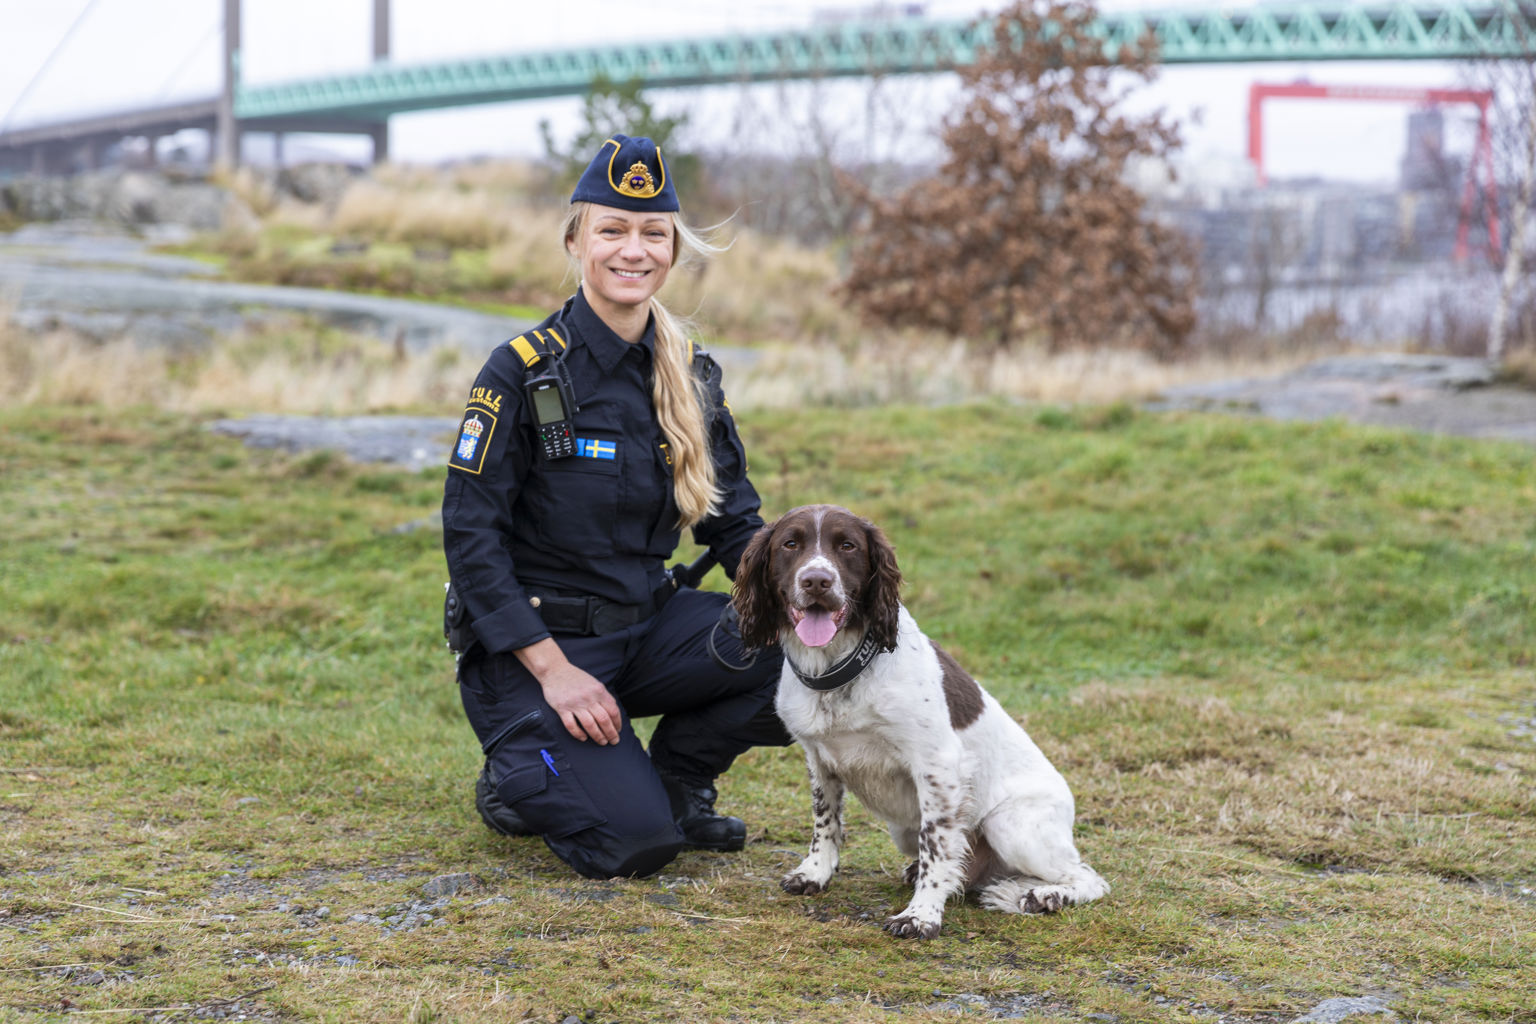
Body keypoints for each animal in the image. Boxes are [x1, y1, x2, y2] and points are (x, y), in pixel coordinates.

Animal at [731, 500, 1105, 939]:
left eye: (847, 545)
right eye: (790, 544)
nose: (817, 581)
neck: (839, 669)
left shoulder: (937, 765)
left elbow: (936, 846)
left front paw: (921, 915)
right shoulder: (818, 759)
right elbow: (825, 821)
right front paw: (815, 873)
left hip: (1012, 825)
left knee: (1087, 877)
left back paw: (1043, 896)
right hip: (905, 830)